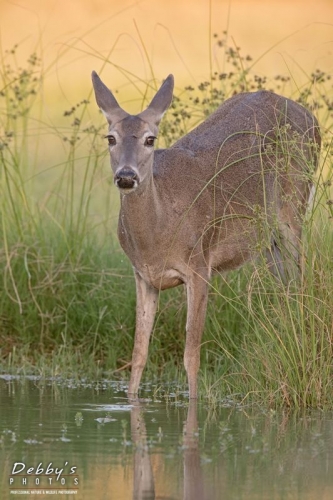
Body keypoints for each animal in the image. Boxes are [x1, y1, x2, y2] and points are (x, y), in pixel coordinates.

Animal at [91, 71, 320, 398]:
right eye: (111, 137)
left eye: (150, 139)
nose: (126, 176)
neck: (156, 238)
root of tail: (312, 118)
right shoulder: (143, 276)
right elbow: (138, 355)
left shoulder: (199, 265)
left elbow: (191, 355)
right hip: (268, 241)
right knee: (286, 290)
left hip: (294, 211)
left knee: (302, 283)